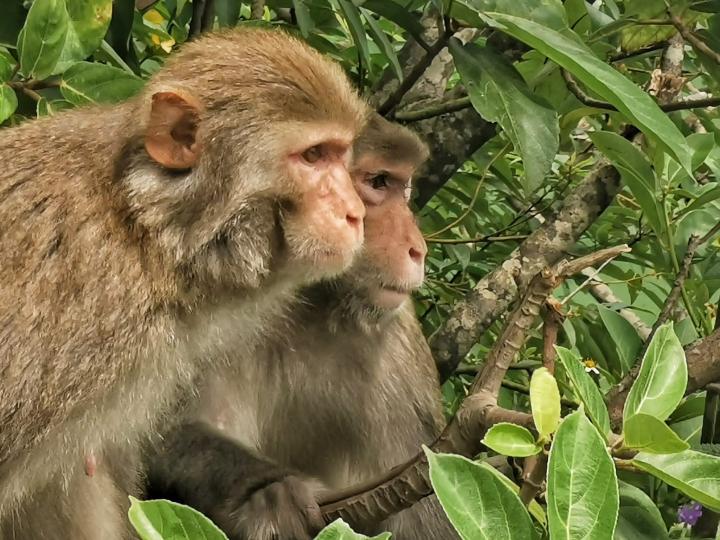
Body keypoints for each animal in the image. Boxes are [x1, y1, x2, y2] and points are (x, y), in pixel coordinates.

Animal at [145, 115, 462, 540]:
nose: (418, 249)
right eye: (379, 182)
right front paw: (266, 490)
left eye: (403, 186)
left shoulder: (399, 352)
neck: (308, 307)